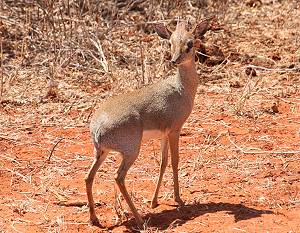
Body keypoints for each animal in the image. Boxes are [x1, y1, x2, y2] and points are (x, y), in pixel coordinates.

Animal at [85, 19, 212, 227]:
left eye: (190, 42)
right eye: (170, 42)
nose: (174, 60)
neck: (181, 88)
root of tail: (96, 128)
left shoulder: (164, 135)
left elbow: (163, 162)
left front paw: (154, 201)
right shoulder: (175, 131)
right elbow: (175, 162)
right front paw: (178, 199)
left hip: (101, 152)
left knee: (89, 177)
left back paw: (95, 219)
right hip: (130, 152)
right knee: (118, 178)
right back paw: (138, 219)